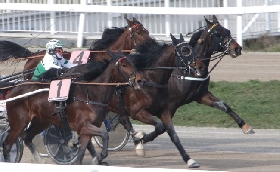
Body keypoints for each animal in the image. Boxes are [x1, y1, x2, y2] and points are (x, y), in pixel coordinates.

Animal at [0, 53, 144, 164]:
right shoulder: (82, 126)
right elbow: (105, 134)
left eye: (131, 62)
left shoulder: (87, 129)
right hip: (19, 122)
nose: (140, 80)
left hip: (41, 121)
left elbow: (82, 153)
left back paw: (38, 160)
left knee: (26, 136)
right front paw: (99, 157)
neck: (91, 94)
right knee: (7, 145)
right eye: (124, 65)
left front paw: (96, 159)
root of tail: (13, 89)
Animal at [106, 34, 207, 167]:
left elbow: (172, 134)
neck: (151, 81)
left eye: (191, 48)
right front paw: (142, 140)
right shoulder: (137, 112)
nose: (201, 66)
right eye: (185, 50)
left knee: (124, 120)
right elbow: (159, 126)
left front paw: (189, 159)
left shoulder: (164, 111)